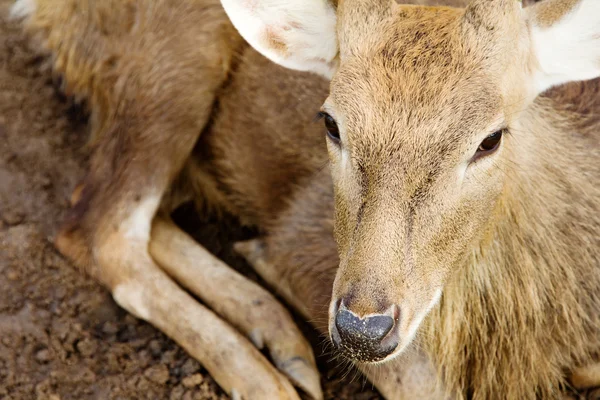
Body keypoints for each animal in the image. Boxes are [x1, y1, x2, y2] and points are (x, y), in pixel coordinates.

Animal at [11, 0, 600, 398]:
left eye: (490, 138)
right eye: (331, 122)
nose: (363, 326)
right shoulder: (307, 234)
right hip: (171, 64)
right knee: (96, 225)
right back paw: (266, 374)